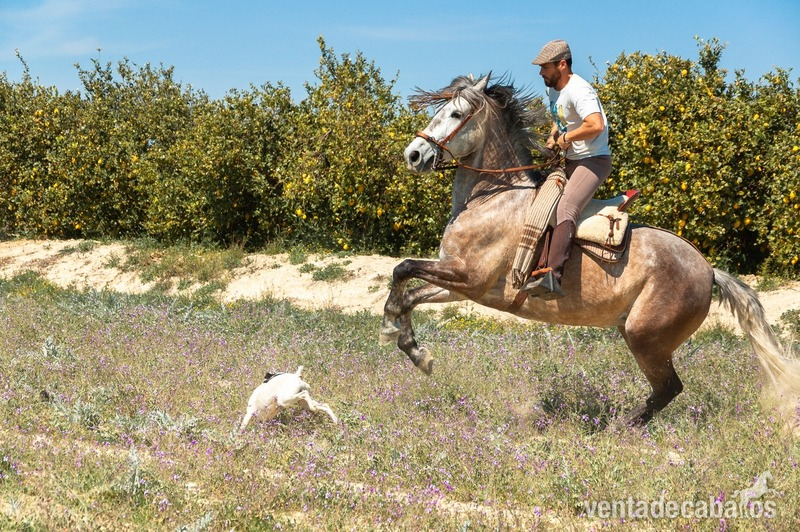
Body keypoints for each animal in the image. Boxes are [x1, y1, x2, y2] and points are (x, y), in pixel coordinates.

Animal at [380, 73, 800, 426]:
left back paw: (621, 427)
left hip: (643, 337)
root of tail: (710, 271)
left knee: (668, 388)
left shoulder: (469, 276)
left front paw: (396, 335)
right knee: (667, 389)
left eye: (455, 113)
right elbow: (409, 293)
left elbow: (403, 269)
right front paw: (411, 347)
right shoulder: (466, 284)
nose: (413, 155)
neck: (493, 197)